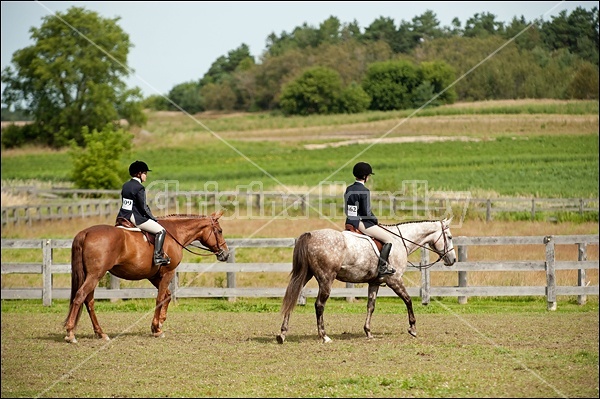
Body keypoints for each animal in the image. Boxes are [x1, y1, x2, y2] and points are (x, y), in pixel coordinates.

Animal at [62, 211, 227, 346]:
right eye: (219, 231)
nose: (225, 254)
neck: (174, 234)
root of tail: (86, 233)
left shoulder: (153, 276)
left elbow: (167, 295)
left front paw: (159, 323)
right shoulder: (168, 272)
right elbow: (160, 298)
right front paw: (157, 329)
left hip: (92, 276)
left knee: (89, 301)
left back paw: (100, 333)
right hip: (95, 275)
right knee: (80, 296)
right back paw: (71, 333)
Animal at [276, 219, 454, 344]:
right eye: (450, 237)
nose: (452, 260)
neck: (400, 241)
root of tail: (310, 235)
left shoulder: (374, 283)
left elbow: (371, 306)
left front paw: (368, 332)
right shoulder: (394, 280)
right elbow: (408, 300)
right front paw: (413, 328)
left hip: (305, 275)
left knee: (292, 298)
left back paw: (282, 334)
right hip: (326, 279)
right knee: (319, 305)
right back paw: (324, 336)